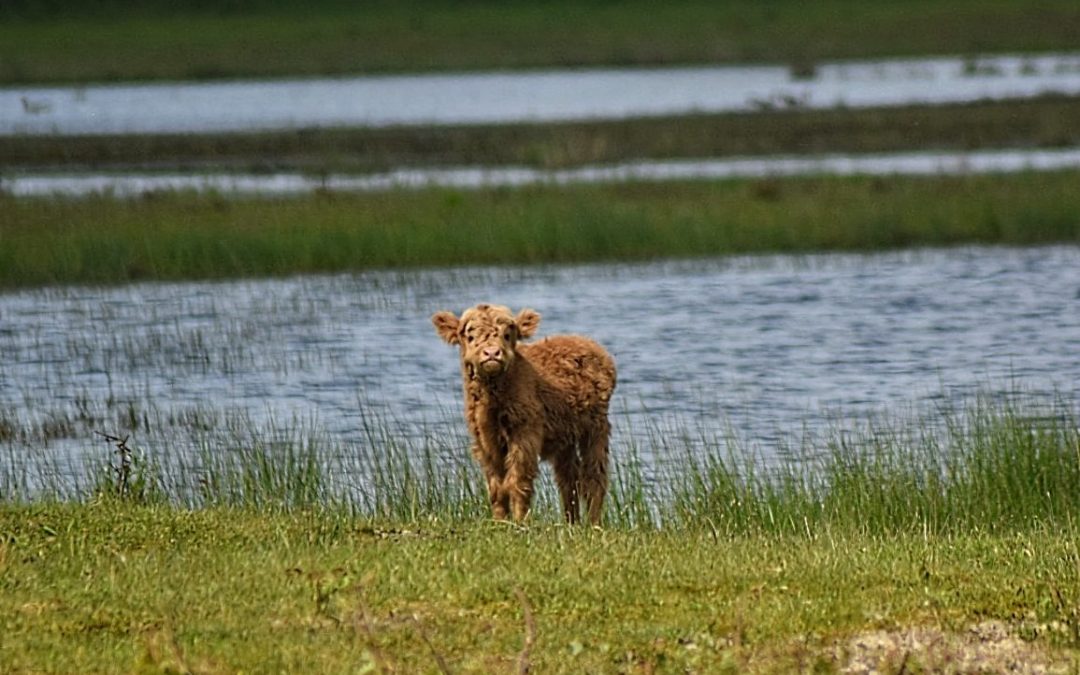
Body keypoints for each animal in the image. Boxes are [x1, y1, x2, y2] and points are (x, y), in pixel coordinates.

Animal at [429, 302, 617, 524]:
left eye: (507, 335)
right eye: (470, 336)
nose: (492, 353)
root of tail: (586, 342)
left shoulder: (525, 432)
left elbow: (517, 480)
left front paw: (520, 521)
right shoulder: (484, 440)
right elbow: (496, 486)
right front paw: (500, 521)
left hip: (596, 426)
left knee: (594, 476)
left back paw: (594, 523)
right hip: (567, 435)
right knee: (568, 478)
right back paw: (571, 523)